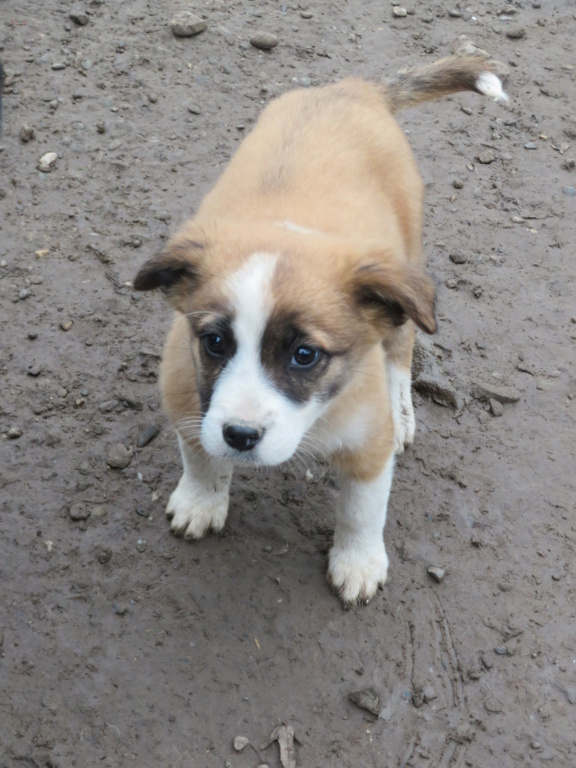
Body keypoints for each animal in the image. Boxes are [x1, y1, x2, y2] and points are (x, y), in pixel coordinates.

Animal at [134, 55, 504, 608]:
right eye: (215, 343)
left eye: (305, 355)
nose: (241, 436)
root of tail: (352, 89)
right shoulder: (186, 398)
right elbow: (200, 458)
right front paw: (201, 501)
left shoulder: (367, 445)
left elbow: (361, 511)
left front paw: (358, 563)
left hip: (407, 267)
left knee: (401, 346)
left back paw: (402, 408)